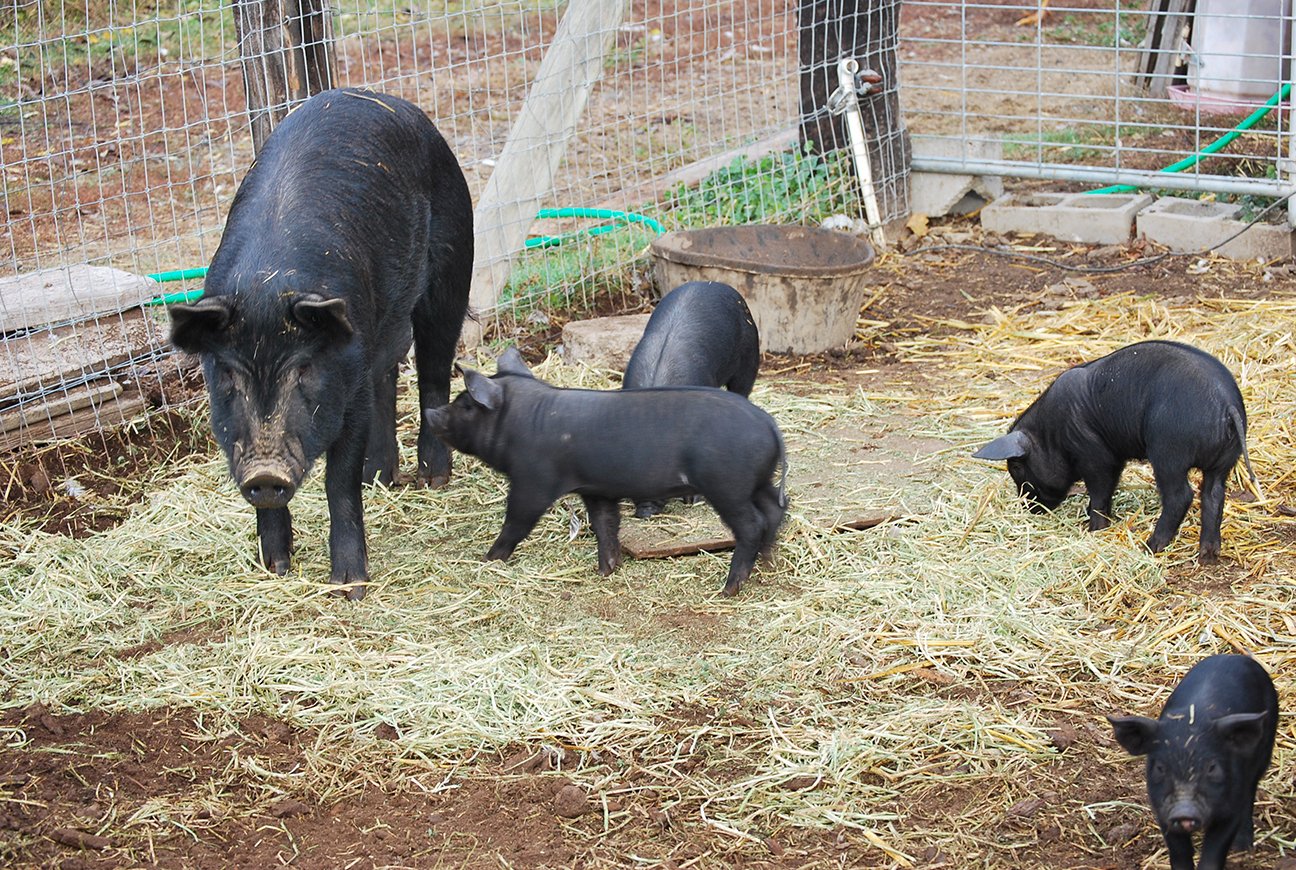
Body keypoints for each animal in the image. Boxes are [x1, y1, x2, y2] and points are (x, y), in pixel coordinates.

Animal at [168, 88, 472, 601]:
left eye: (304, 369)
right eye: (228, 373)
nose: (265, 471)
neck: (265, 287)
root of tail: (390, 100)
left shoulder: (346, 389)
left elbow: (338, 482)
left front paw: (350, 588)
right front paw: (274, 569)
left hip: (452, 264)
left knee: (433, 367)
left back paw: (433, 479)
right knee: (387, 371)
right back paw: (380, 477)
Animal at [424, 347, 787, 596]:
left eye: (466, 405)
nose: (431, 413)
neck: (522, 421)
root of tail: (769, 425)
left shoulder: (533, 481)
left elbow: (517, 521)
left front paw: (488, 559)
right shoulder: (596, 489)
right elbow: (605, 525)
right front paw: (606, 571)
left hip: (727, 484)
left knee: (752, 524)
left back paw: (729, 588)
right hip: (759, 482)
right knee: (774, 511)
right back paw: (768, 561)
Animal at [972, 341, 1258, 562]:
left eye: (1016, 467)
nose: (1029, 507)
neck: (1051, 434)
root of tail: (1227, 405)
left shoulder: (1095, 457)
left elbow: (1099, 492)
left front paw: (1094, 530)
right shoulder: (1115, 460)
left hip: (1168, 453)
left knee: (1181, 496)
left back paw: (1149, 547)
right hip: (1224, 461)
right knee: (1213, 494)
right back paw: (1207, 556)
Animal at [1108, 654, 1278, 870]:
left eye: (1212, 767)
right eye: (1161, 767)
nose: (1184, 811)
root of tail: (1233, 655)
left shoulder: (1230, 806)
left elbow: (1215, 851)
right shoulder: (1162, 808)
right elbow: (1179, 852)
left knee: (1250, 793)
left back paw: (1243, 849)